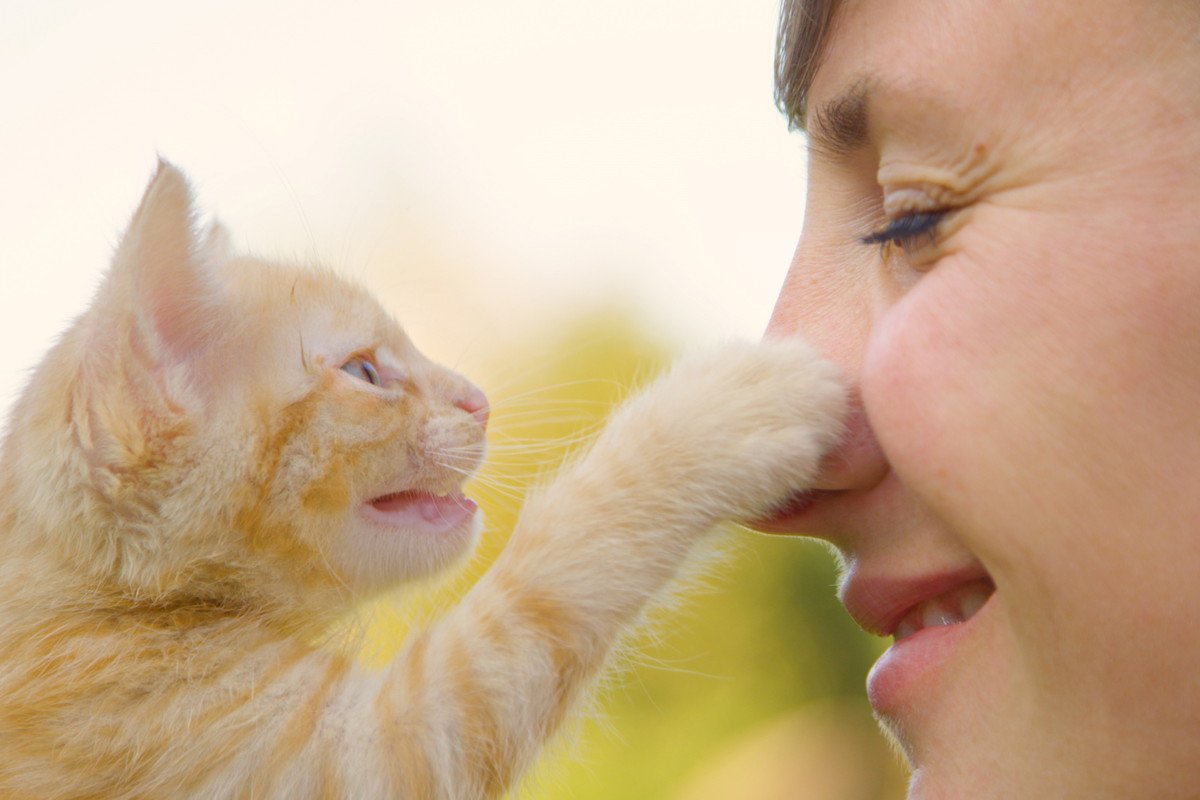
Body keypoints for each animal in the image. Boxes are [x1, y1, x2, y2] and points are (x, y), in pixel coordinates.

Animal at [0, 163, 844, 800]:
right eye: (365, 372)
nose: (479, 399)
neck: (116, 606)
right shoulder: (352, 755)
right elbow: (541, 588)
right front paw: (728, 407)